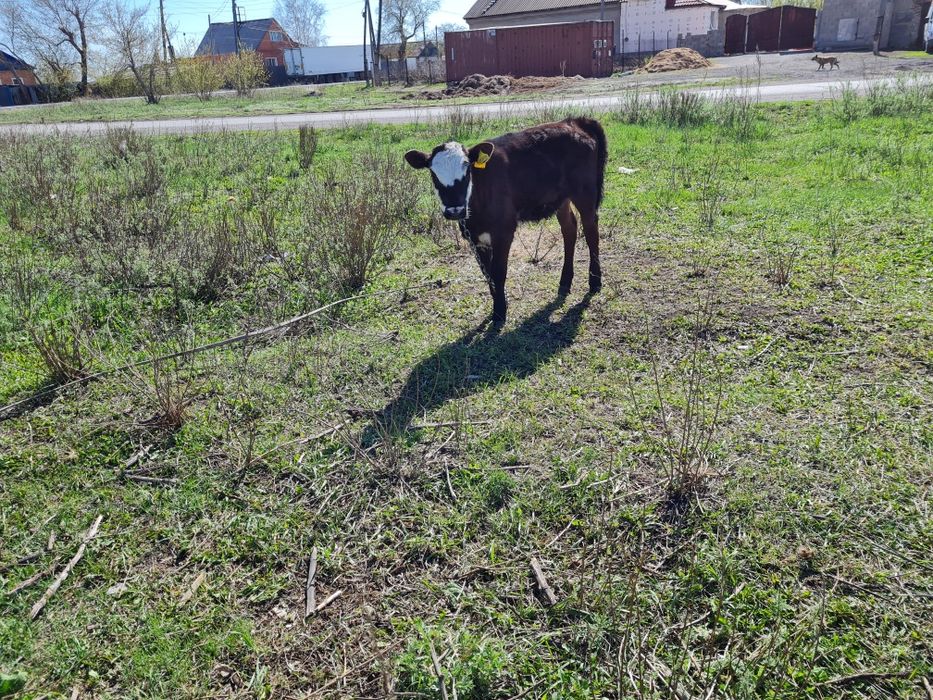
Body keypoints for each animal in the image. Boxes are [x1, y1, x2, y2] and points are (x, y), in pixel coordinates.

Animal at [404, 116, 608, 325]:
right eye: (433, 174)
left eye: (467, 169)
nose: (455, 210)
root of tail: (573, 121)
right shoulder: (475, 238)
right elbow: (487, 274)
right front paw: (497, 304)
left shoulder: (503, 232)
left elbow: (498, 272)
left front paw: (500, 312)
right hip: (561, 199)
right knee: (570, 229)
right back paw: (565, 282)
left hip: (585, 193)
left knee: (591, 231)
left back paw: (594, 281)